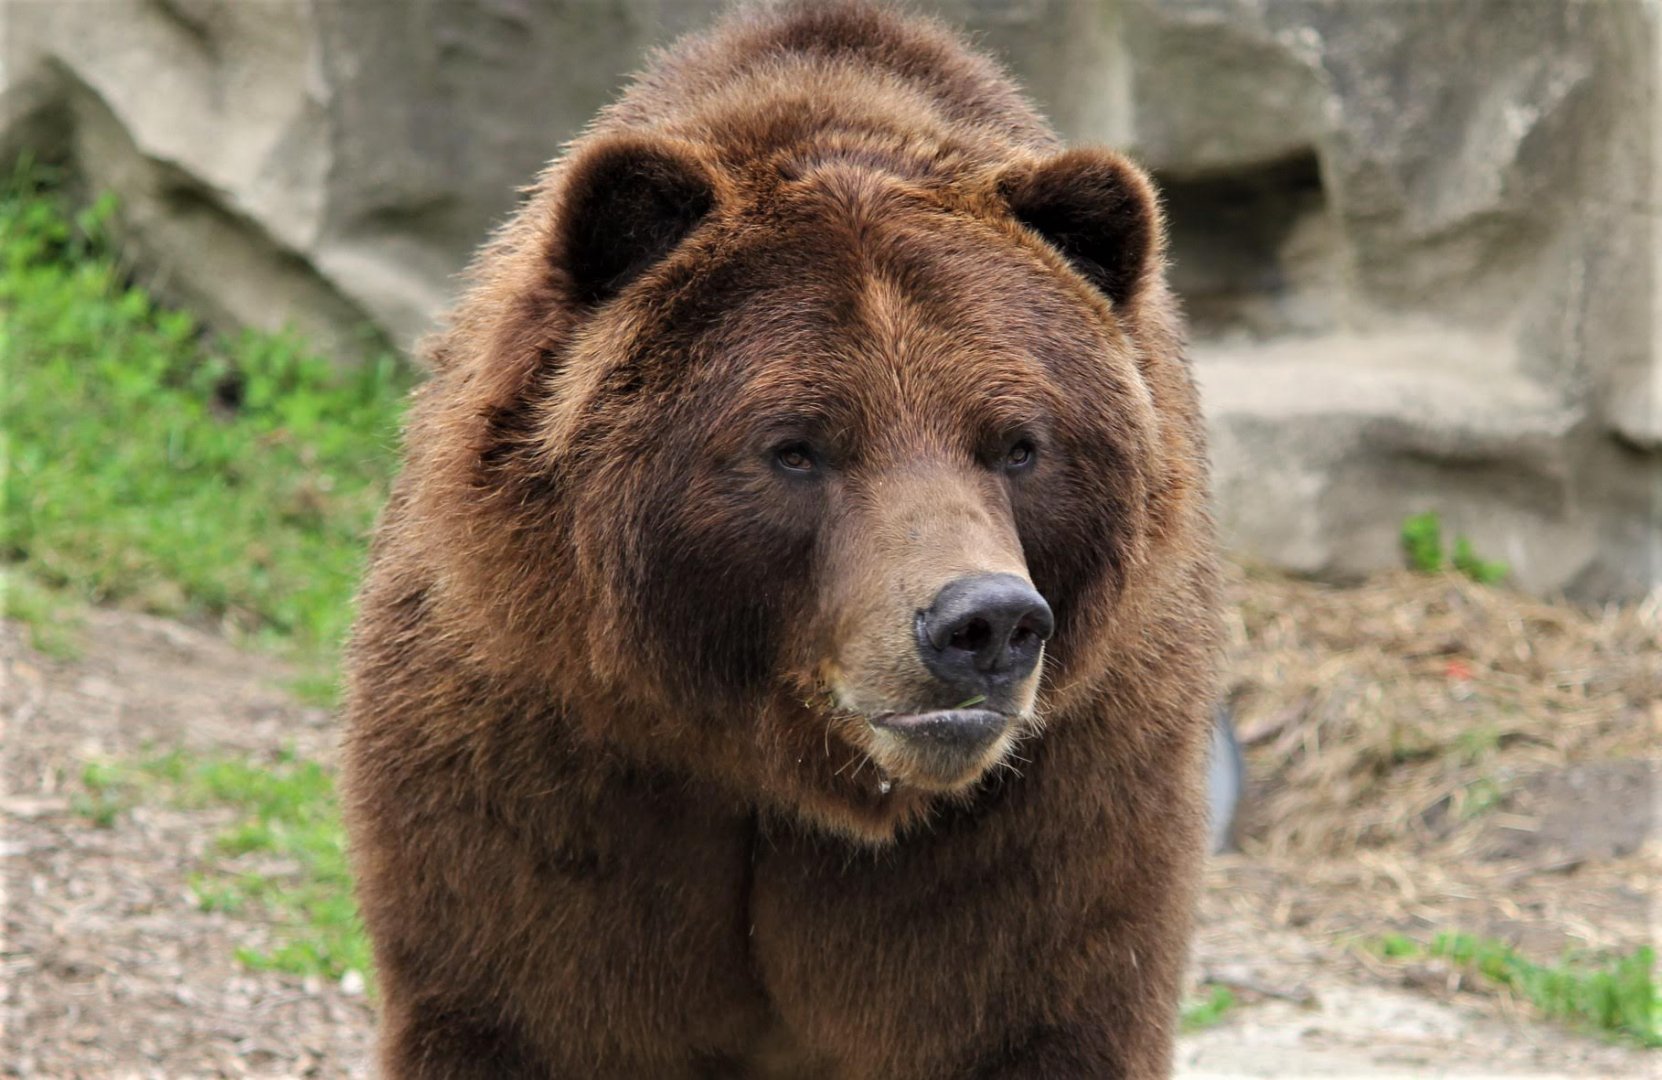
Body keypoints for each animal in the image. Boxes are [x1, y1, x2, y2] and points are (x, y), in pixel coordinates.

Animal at [340, 2, 1222, 1077]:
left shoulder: (1055, 812)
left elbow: (1034, 1002)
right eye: (797, 447)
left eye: (1019, 443)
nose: (984, 624)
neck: (781, 765)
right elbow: (523, 1006)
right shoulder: (544, 758)